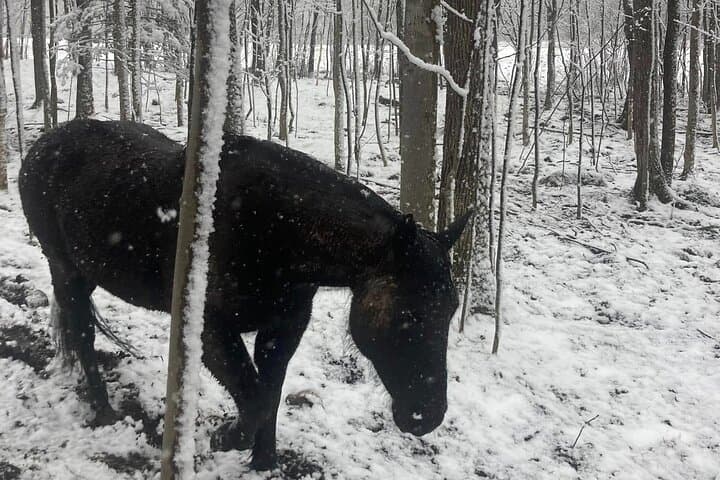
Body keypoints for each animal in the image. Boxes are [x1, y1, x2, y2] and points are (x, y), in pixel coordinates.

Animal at [18, 119, 472, 470]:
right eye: (408, 315)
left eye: (451, 311)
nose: (427, 416)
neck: (277, 231)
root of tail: (41, 146)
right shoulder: (211, 331)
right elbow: (254, 398)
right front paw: (225, 438)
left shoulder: (282, 332)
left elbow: (270, 395)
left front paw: (263, 462)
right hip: (65, 270)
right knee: (82, 335)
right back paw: (102, 409)